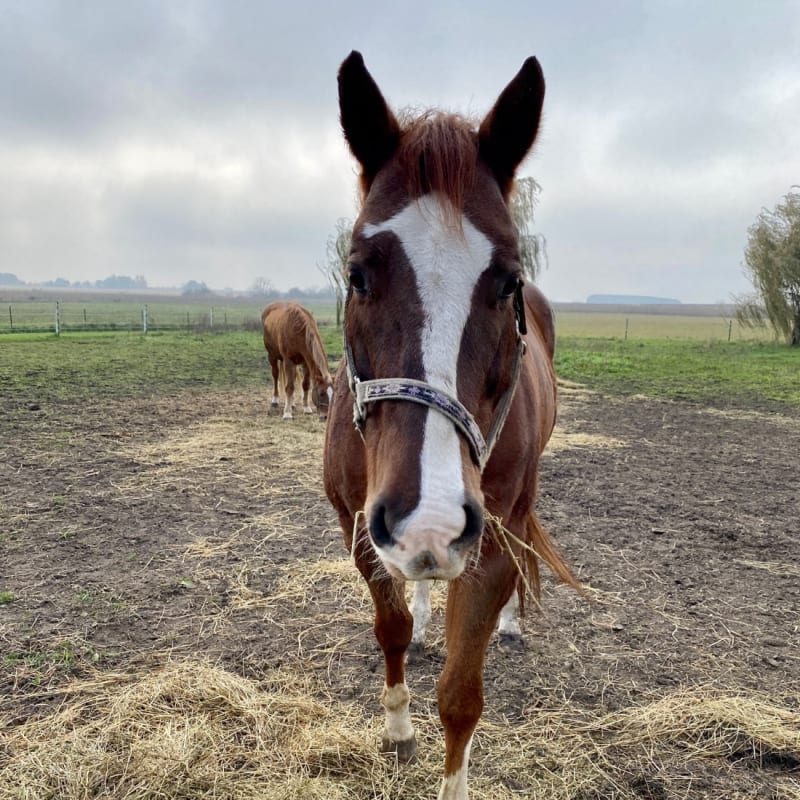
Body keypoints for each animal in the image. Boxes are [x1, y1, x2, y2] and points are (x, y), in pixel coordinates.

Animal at [322, 52, 578, 798]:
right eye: (358, 274)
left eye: (508, 281)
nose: (428, 518)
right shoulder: (357, 525)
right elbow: (393, 627)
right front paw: (397, 726)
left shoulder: (489, 544)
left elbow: (462, 692)